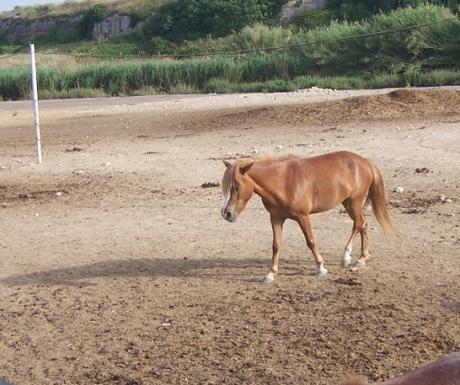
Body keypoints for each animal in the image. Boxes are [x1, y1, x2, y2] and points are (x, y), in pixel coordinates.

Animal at [221, 150, 394, 282]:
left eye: (236, 186)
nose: (226, 213)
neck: (282, 182)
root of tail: (364, 161)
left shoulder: (303, 217)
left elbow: (310, 241)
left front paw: (321, 267)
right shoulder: (276, 218)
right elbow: (276, 245)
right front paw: (271, 273)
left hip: (353, 203)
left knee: (359, 224)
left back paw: (349, 257)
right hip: (348, 203)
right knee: (362, 225)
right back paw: (360, 258)